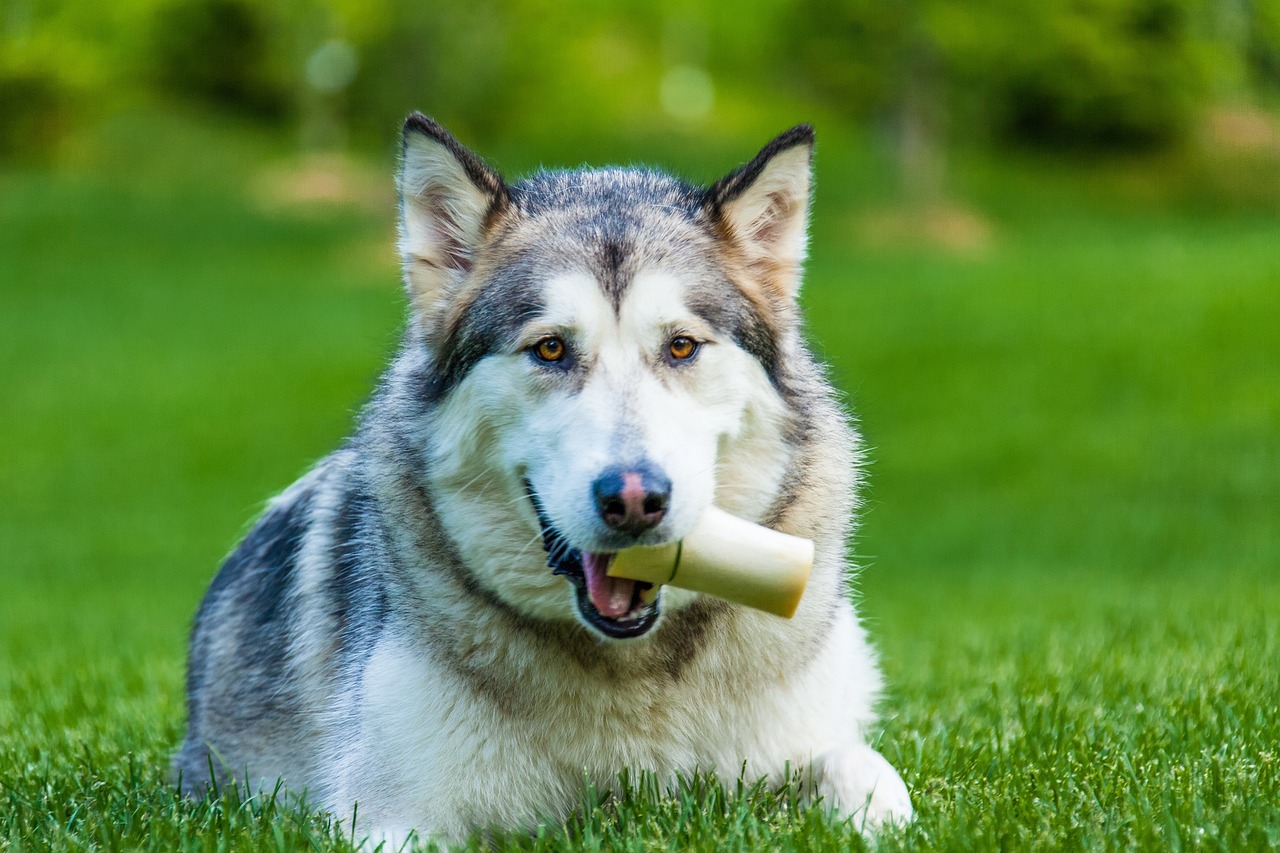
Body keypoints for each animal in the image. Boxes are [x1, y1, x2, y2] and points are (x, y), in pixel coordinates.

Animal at [177, 114, 911, 845]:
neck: (633, 671)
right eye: (551, 347)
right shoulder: (388, 815)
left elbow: (867, 772)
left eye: (680, 346)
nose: (634, 500)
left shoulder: (810, 737)